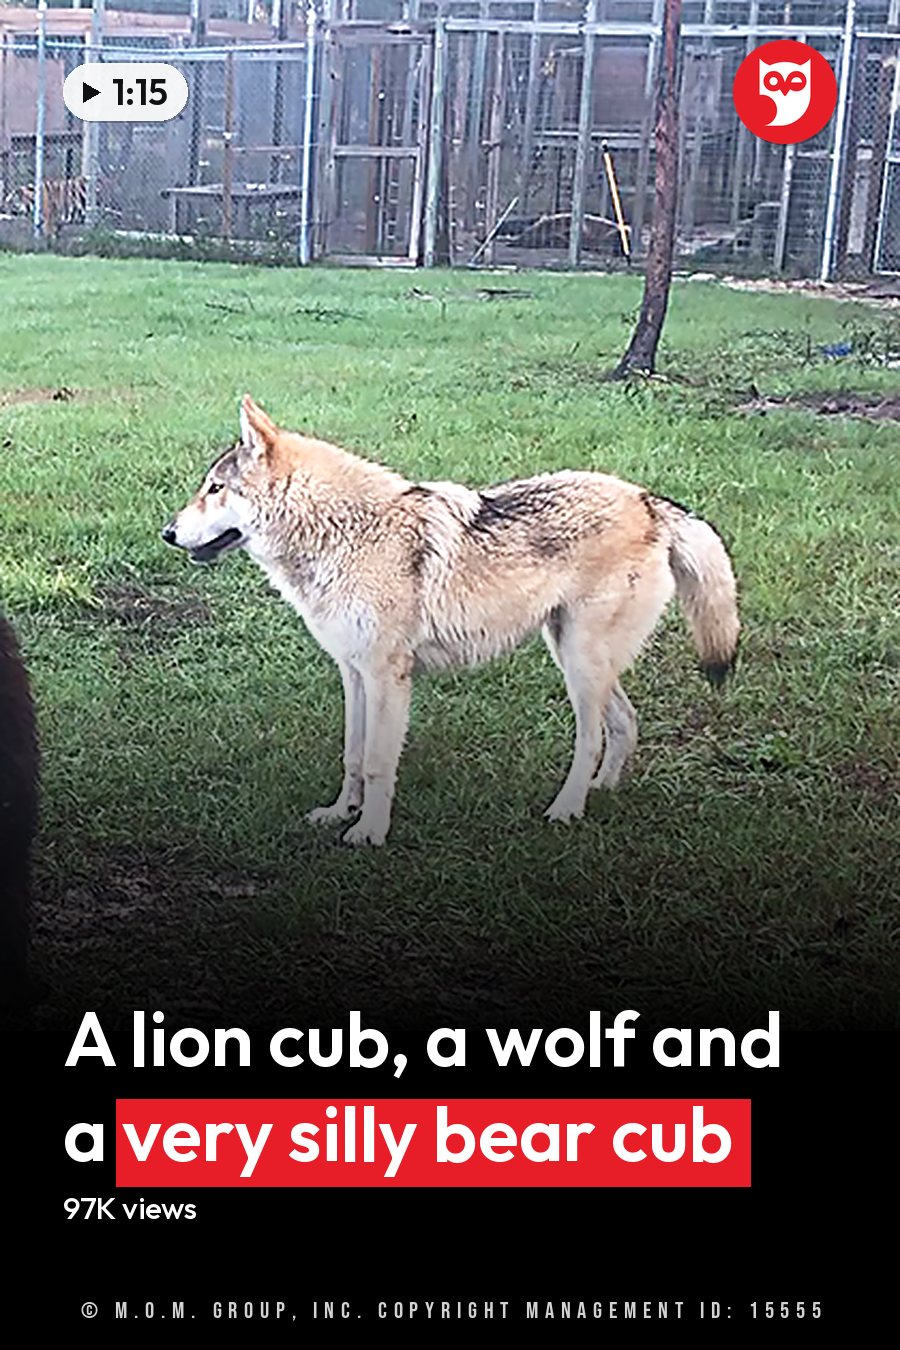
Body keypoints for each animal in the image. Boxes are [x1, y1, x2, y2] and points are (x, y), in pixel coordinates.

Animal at [163, 396, 739, 846]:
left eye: (214, 489)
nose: (167, 532)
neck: (344, 532)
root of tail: (649, 500)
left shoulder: (388, 677)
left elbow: (378, 762)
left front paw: (369, 832)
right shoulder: (353, 674)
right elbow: (352, 756)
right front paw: (340, 812)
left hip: (579, 662)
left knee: (592, 737)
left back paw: (566, 809)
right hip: (575, 657)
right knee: (624, 722)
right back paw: (602, 790)